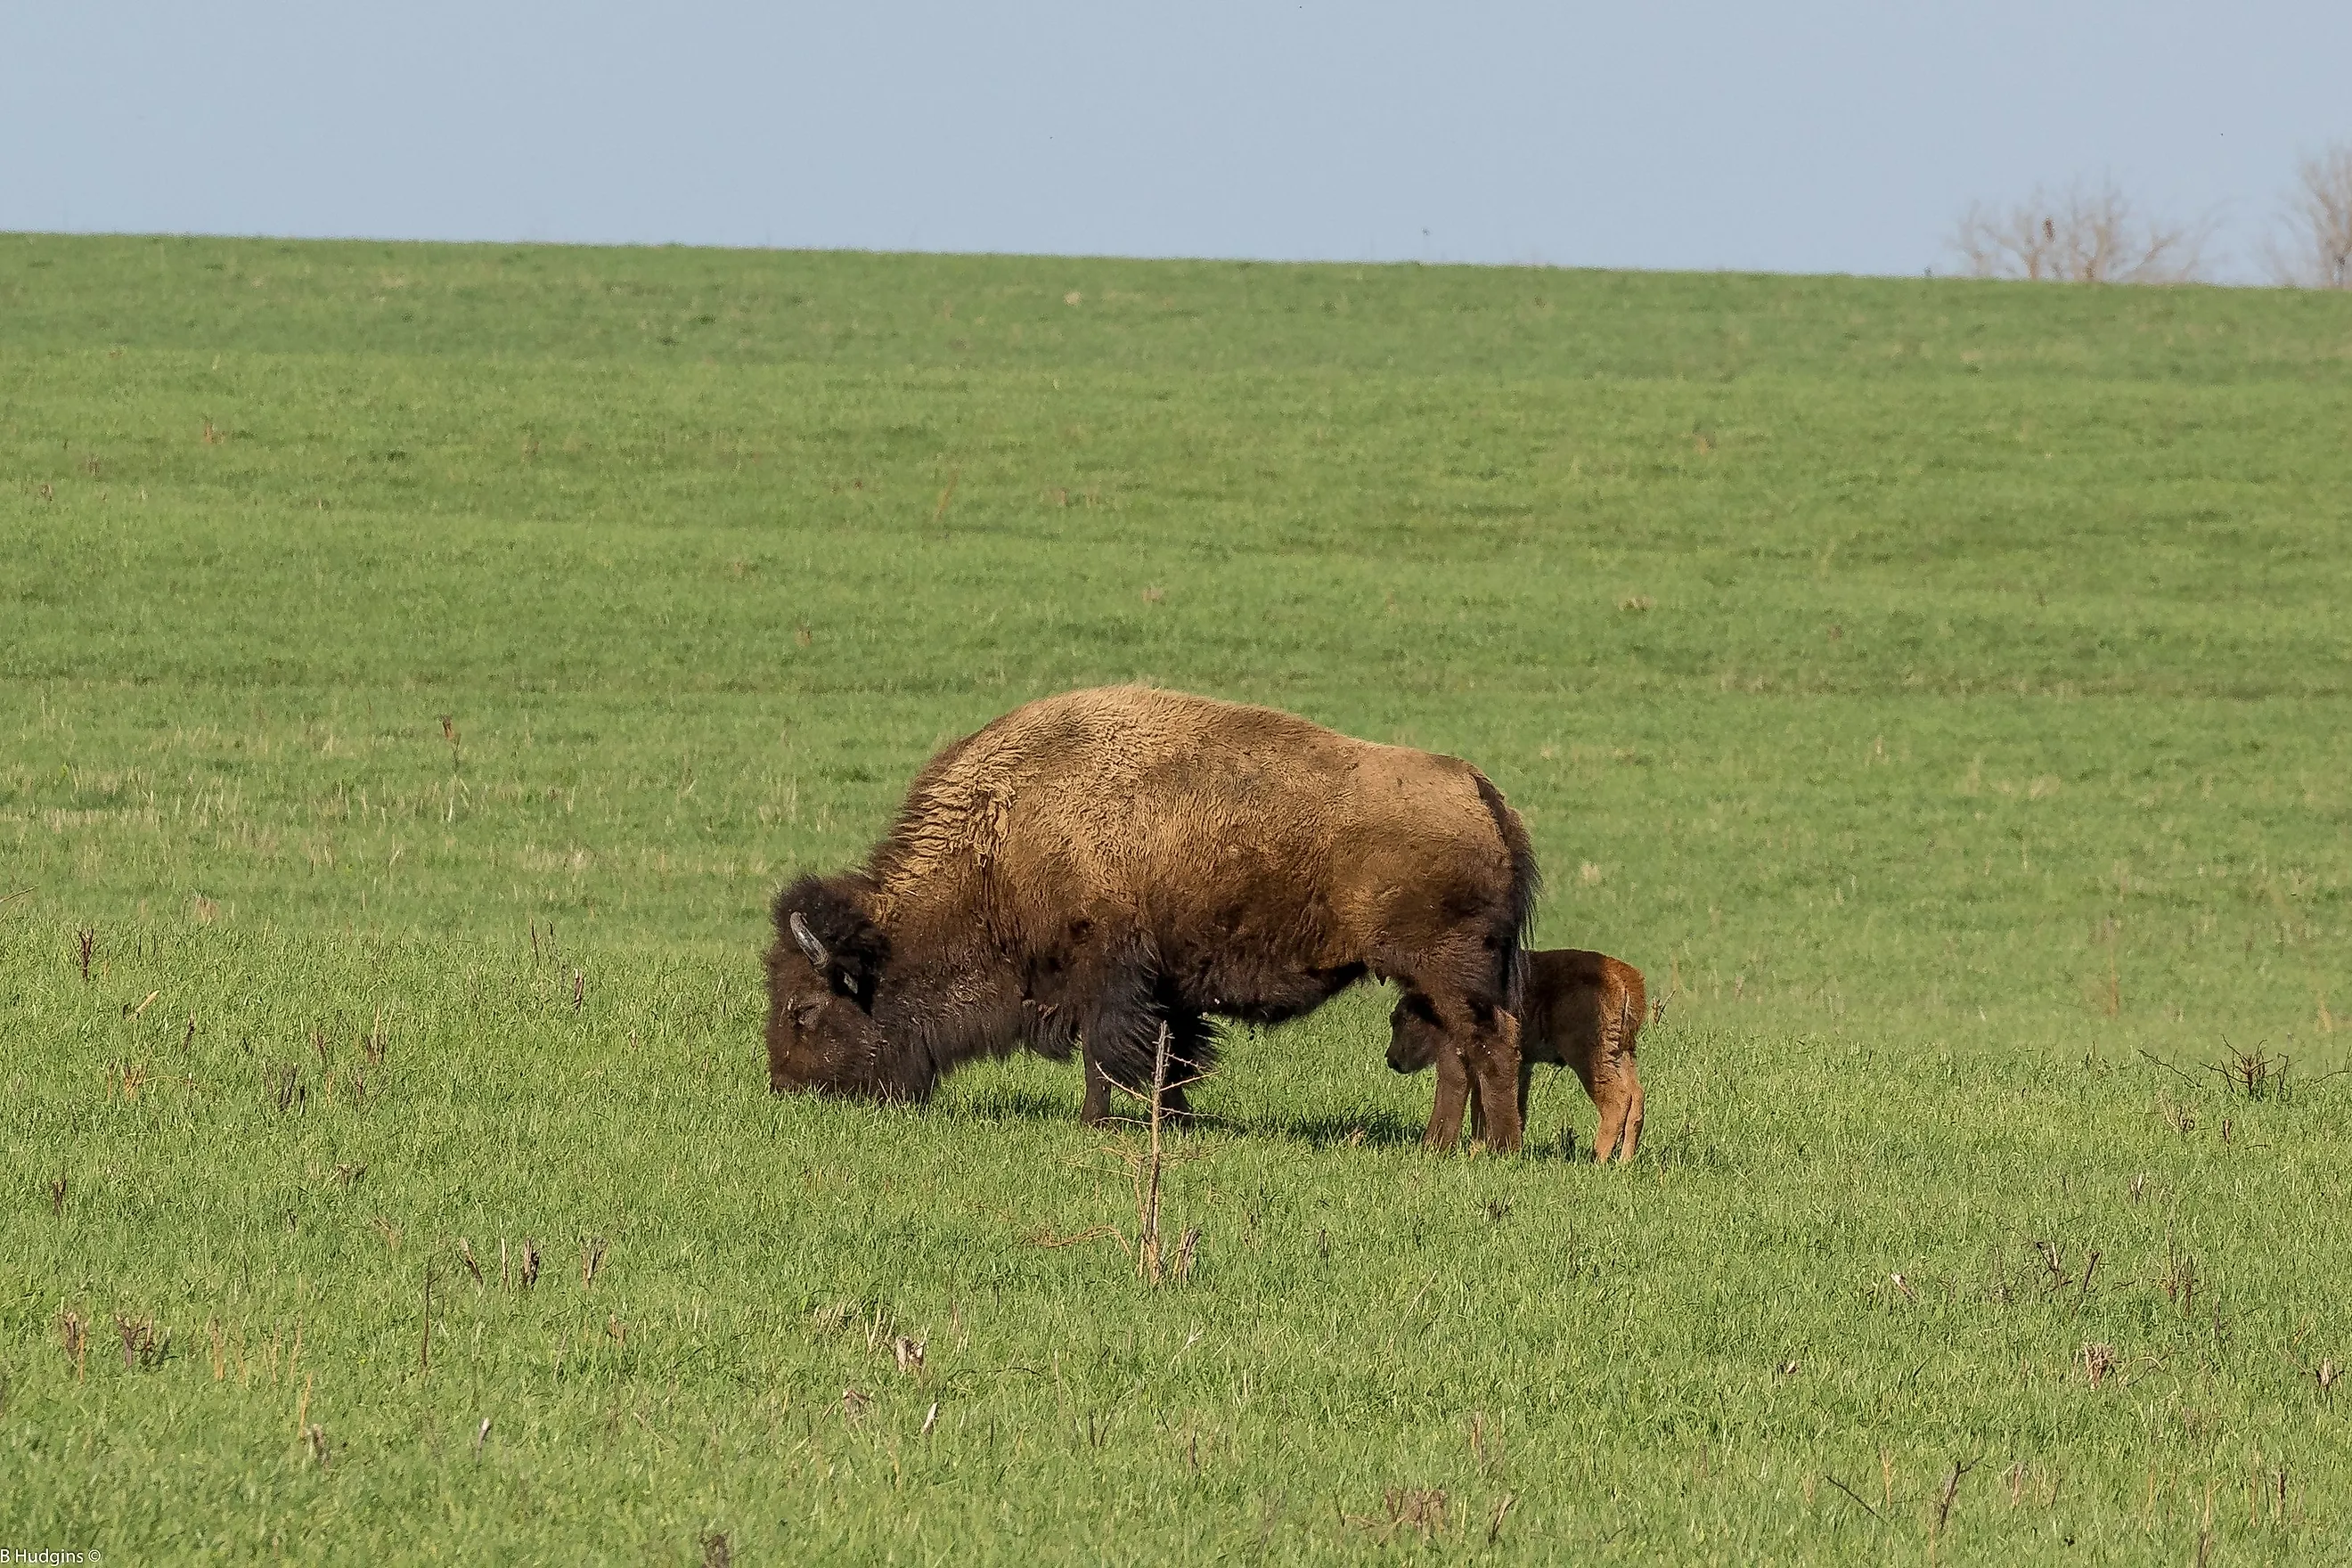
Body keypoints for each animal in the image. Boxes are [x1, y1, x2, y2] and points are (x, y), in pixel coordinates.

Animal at [764, 685, 1540, 1149]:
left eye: (804, 1010)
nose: (786, 1091)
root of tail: (1483, 794)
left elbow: (1105, 1056)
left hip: (1450, 971)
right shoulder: (1164, 990)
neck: (1002, 833)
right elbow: (1173, 1057)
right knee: (1456, 1054)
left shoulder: (1107, 978)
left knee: (1491, 1044)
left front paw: (1095, 1125)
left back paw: (1497, 1148)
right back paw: (1442, 1145)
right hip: (1431, 979)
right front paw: (1173, 1124)